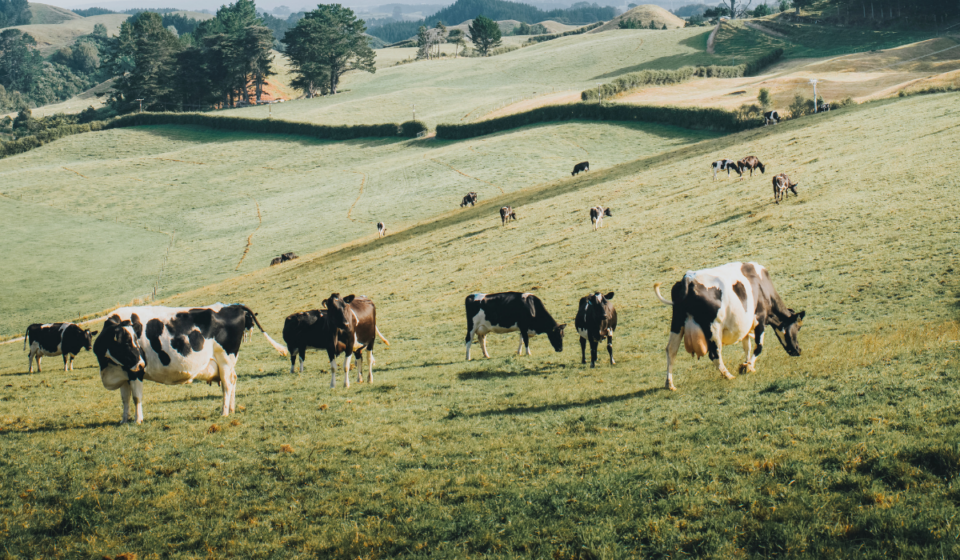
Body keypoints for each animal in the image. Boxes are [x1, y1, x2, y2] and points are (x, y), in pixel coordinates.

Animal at [92, 304, 287, 424]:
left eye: (134, 340)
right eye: (125, 342)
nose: (141, 363)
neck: (108, 367)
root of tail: (233, 306)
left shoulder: (135, 373)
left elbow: (136, 397)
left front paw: (137, 420)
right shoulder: (124, 373)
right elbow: (125, 399)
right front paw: (124, 420)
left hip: (224, 360)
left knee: (227, 385)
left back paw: (224, 412)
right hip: (228, 364)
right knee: (233, 381)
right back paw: (231, 409)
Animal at [653, 262, 805, 391]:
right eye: (798, 328)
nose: (798, 350)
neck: (763, 287)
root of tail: (689, 278)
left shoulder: (746, 326)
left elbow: (747, 346)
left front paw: (746, 364)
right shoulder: (760, 319)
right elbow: (758, 347)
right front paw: (749, 366)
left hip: (677, 324)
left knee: (671, 350)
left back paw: (669, 384)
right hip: (714, 328)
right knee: (715, 353)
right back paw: (728, 375)